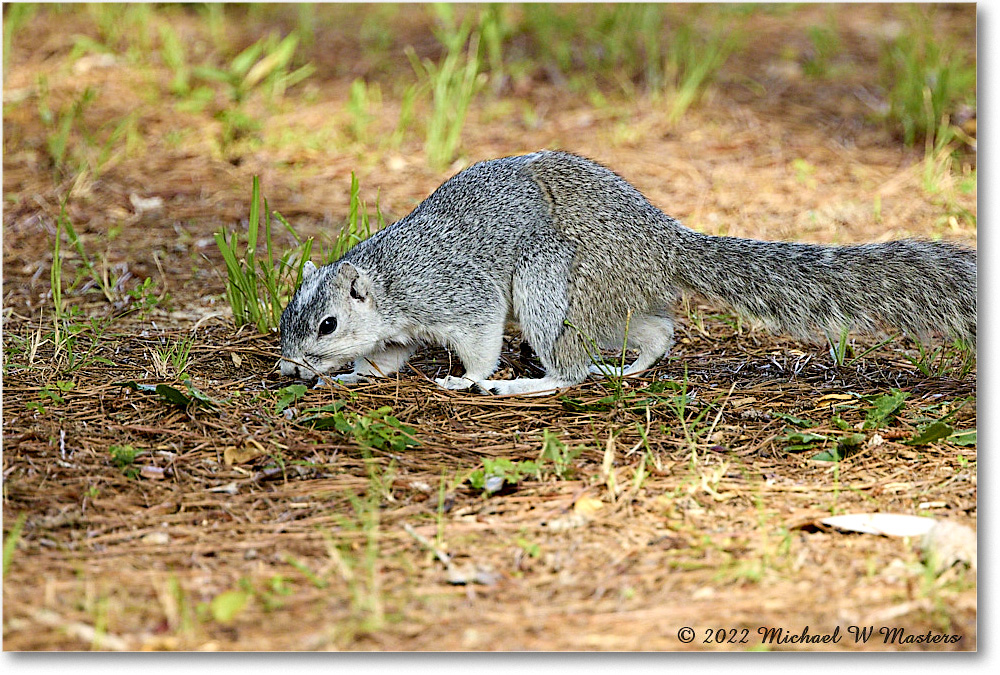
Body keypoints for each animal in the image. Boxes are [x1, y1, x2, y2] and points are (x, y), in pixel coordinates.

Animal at [280, 152, 976, 396]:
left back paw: (525, 385)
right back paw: (632, 368)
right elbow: (383, 361)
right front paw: (348, 375)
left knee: (570, 369)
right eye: (289, 318)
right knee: (654, 334)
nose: (288, 366)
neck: (386, 281)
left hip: (552, 288)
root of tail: (662, 241)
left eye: (327, 323)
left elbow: (477, 342)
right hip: (614, 299)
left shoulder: (454, 294)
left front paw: (467, 379)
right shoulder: (397, 332)